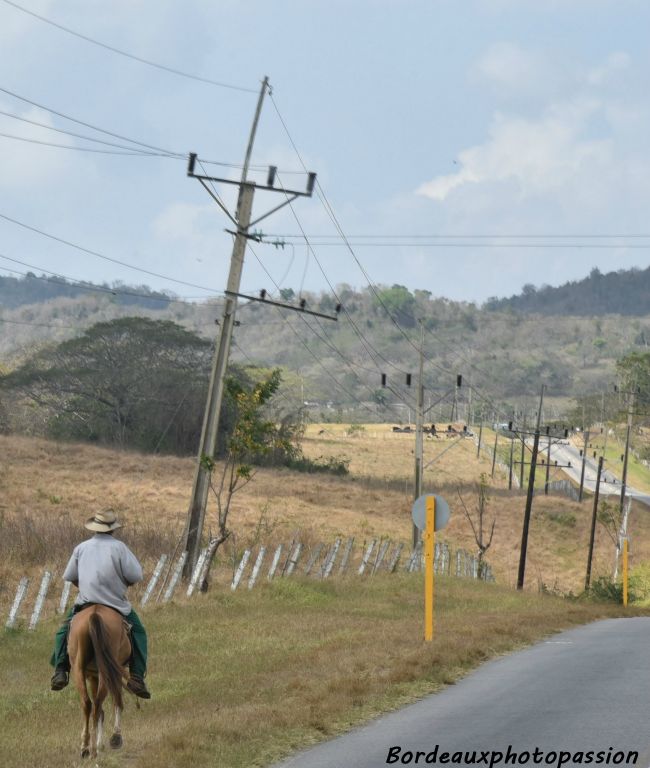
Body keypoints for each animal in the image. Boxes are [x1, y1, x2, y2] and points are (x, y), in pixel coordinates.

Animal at [67, 608, 131, 760]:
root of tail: (94, 613)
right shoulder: (115, 673)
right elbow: (117, 702)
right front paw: (116, 737)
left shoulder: (93, 677)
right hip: (107, 672)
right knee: (100, 703)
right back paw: (96, 748)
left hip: (78, 670)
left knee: (89, 704)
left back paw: (86, 747)